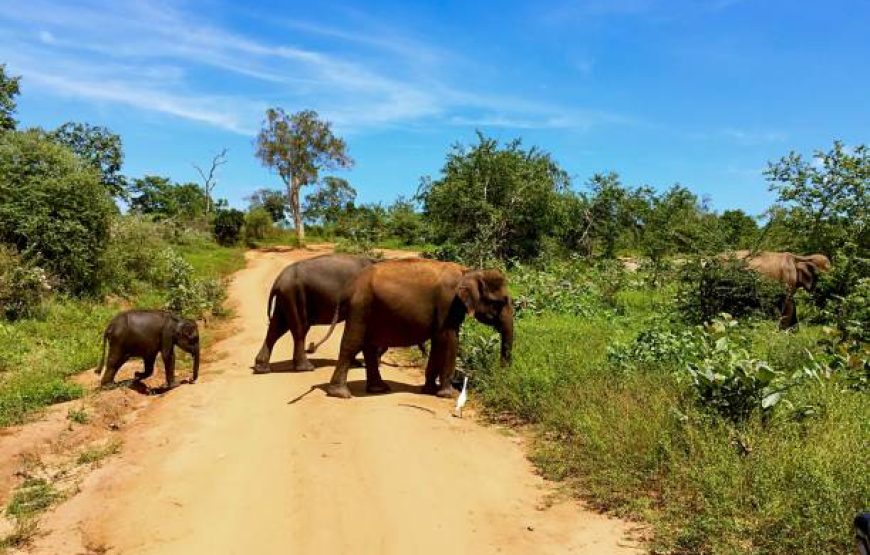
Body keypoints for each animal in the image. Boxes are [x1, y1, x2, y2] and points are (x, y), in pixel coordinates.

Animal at [324, 260, 516, 400]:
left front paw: (430, 390)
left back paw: (378, 388)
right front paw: (447, 394)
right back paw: (341, 394)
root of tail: (349, 285)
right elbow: (450, 339)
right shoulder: (448, 302)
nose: (501, 376)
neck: (467, 272)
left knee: (368, 346)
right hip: (360, 307)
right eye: (498, 303)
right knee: (352, 342)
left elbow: (438, 341)